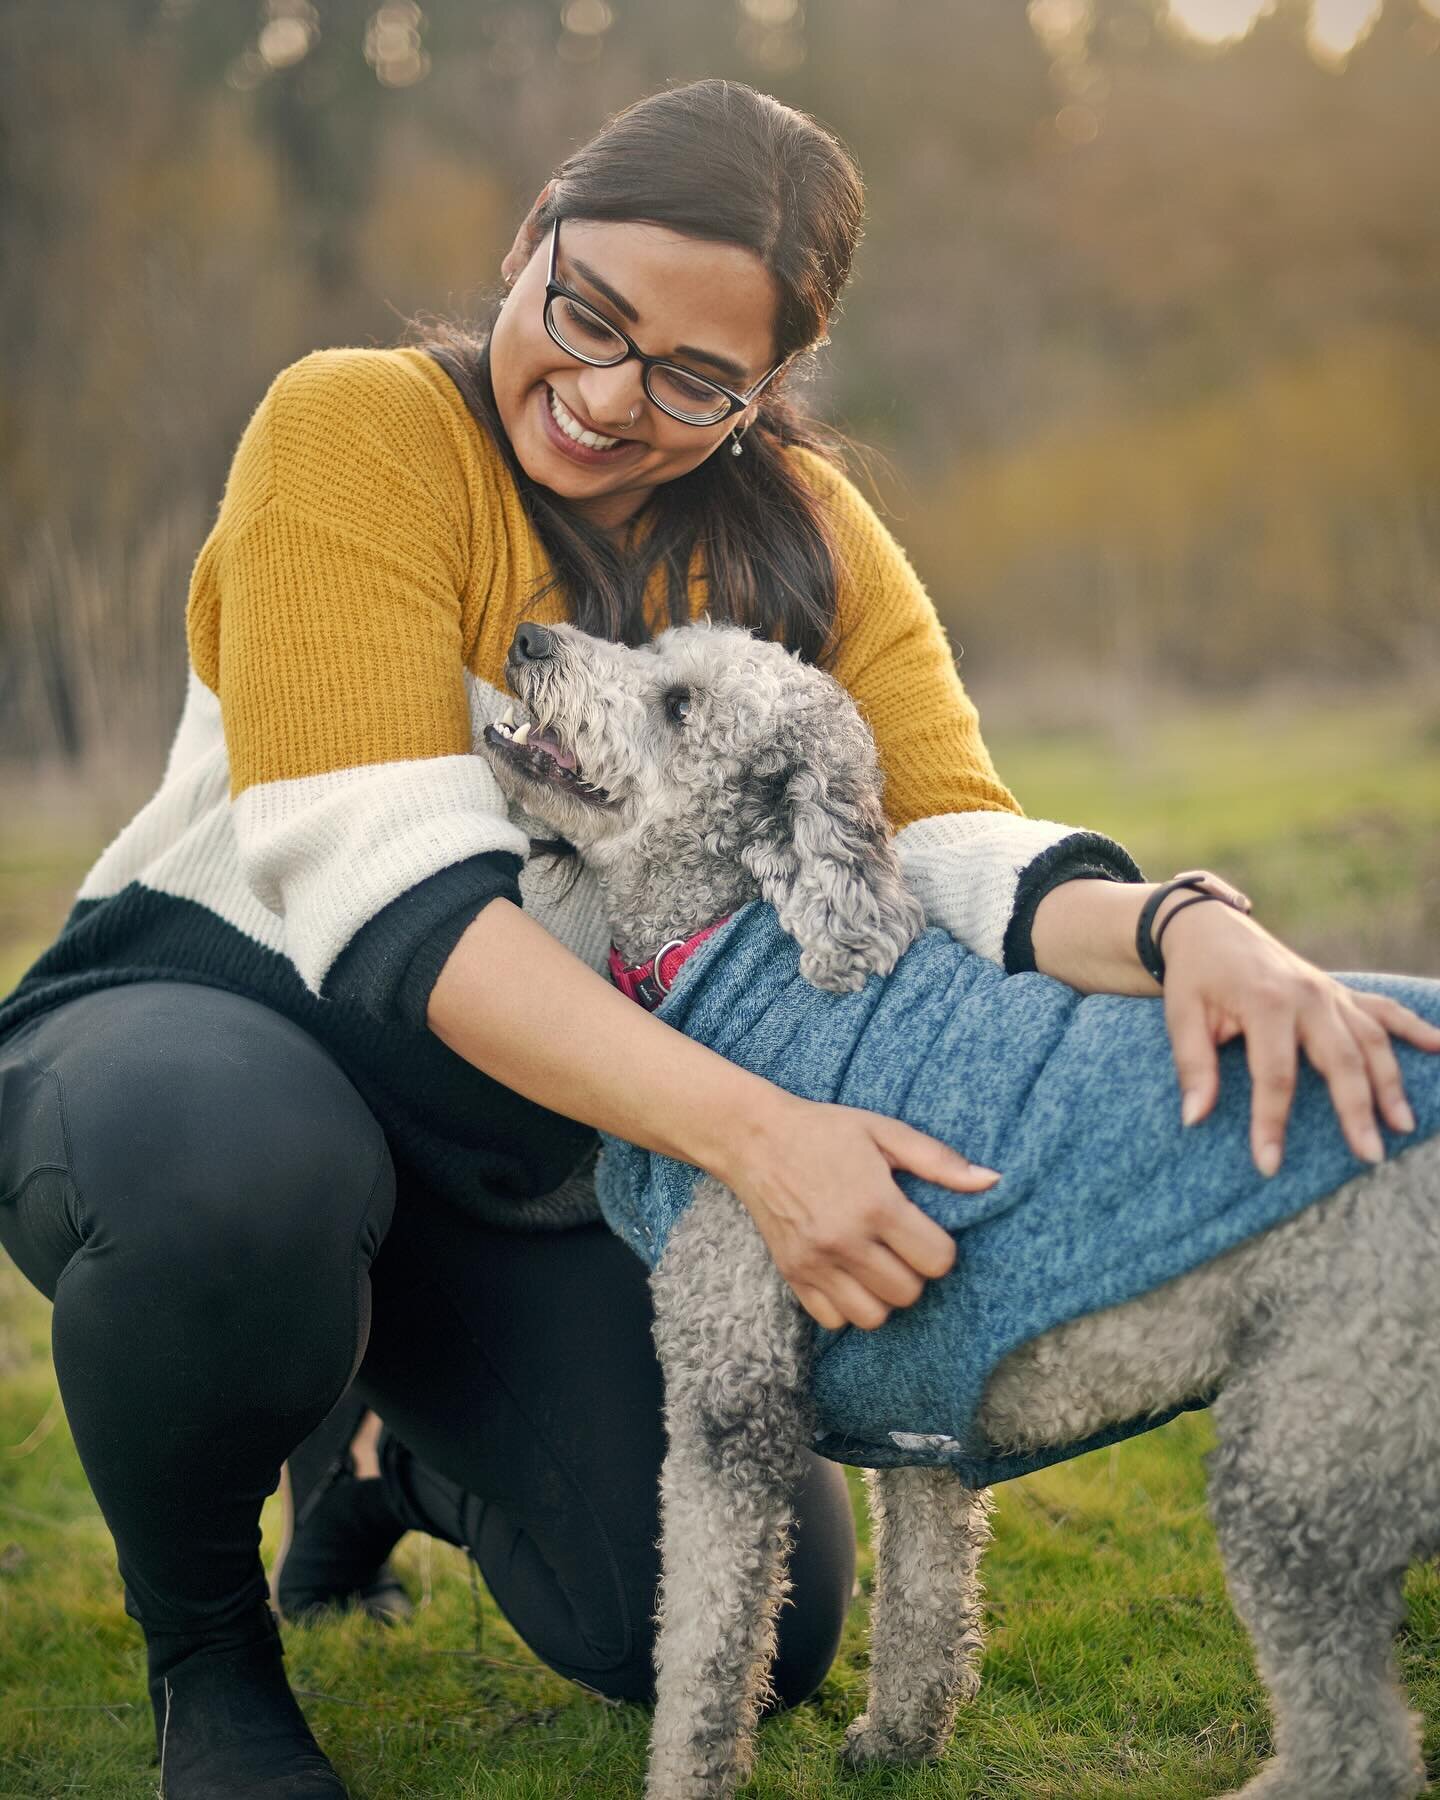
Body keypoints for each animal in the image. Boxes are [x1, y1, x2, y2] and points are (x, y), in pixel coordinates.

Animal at [482, 622, 1440, 1800]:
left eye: (678, 704)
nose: (531, 637)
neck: (741, 946)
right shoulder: (921, 1392)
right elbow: (927, 1593)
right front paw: (898, 1742)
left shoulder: (728, 1404)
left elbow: (702, 1656)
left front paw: (685, 1780)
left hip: (1304, 1452)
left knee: (1357, 1748)